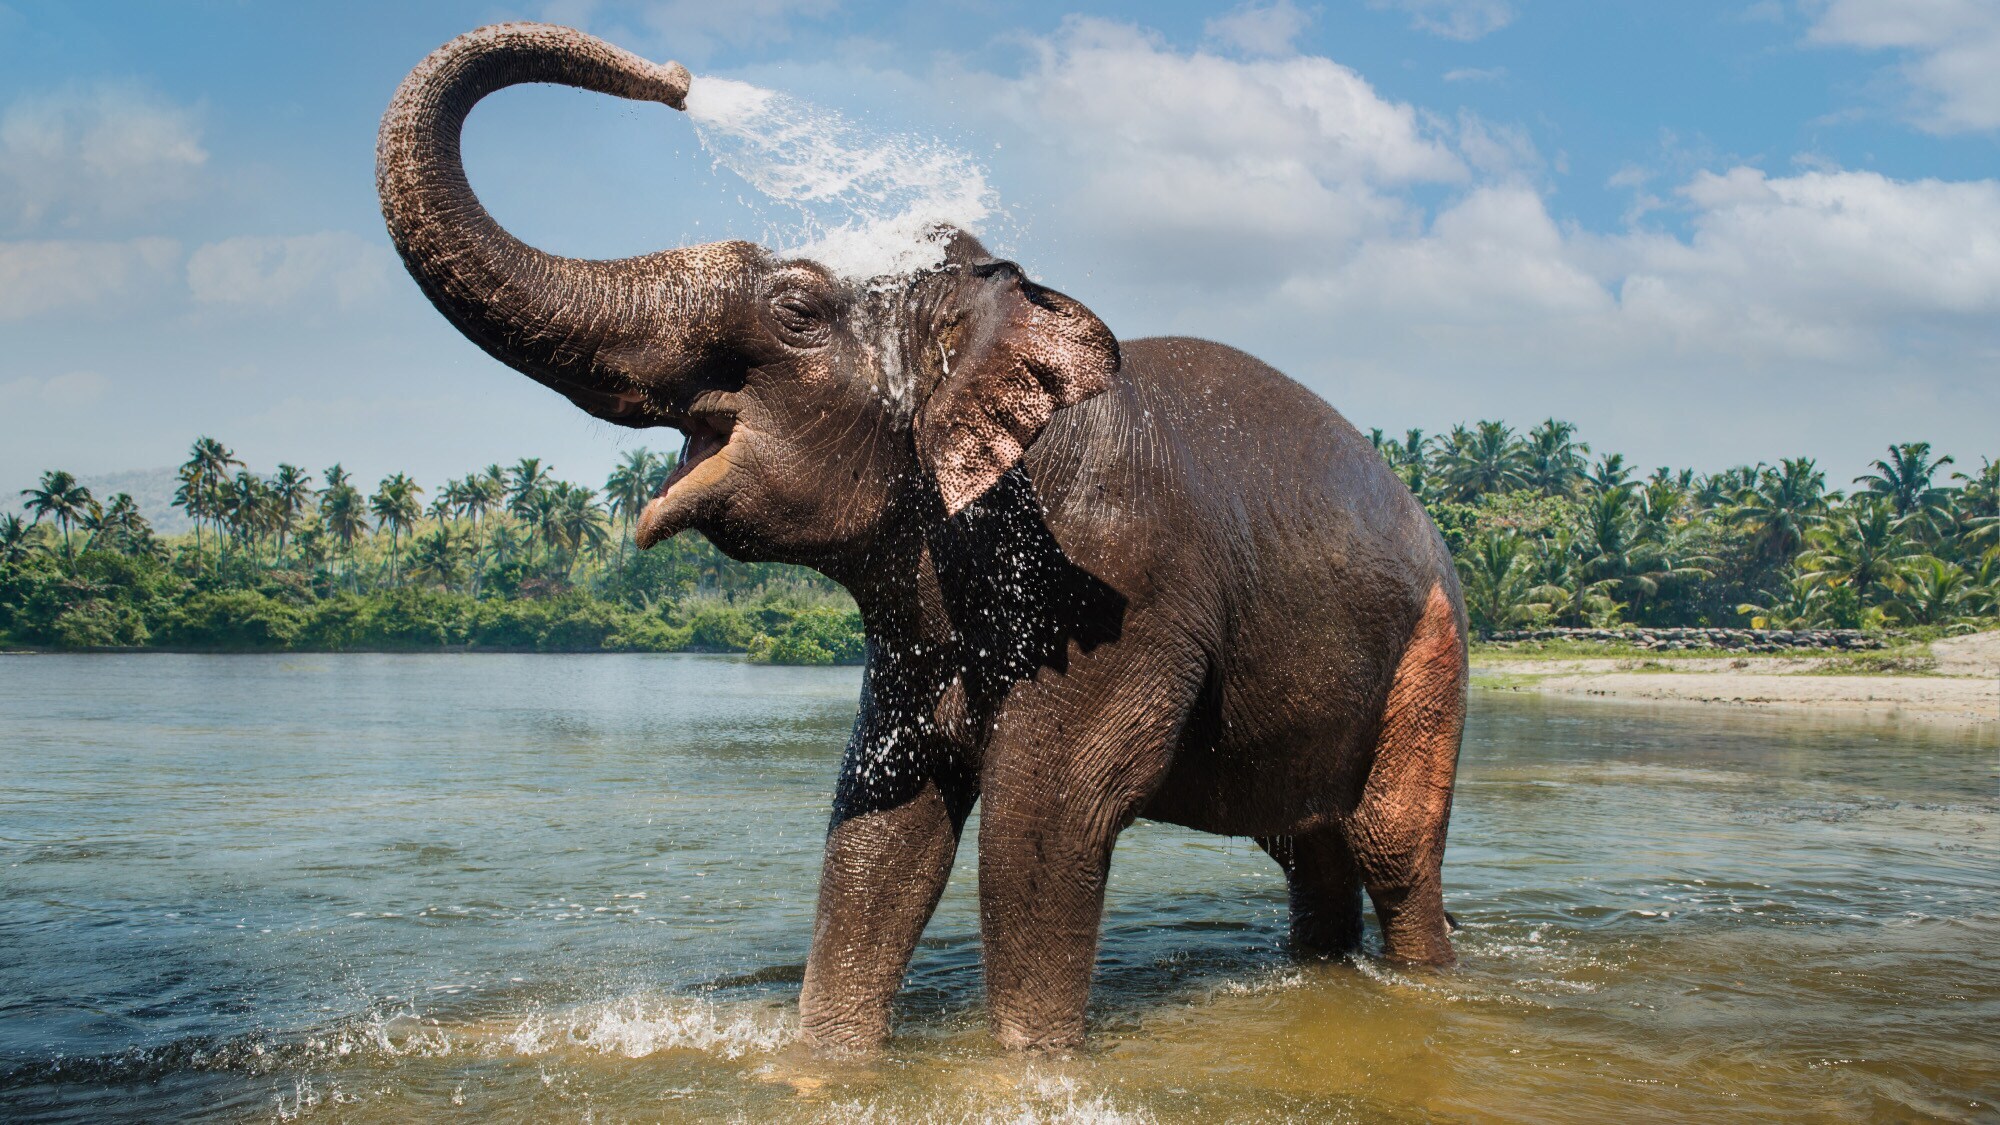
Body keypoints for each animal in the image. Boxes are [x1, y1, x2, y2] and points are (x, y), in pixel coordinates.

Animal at [378, 23, 1468, 1052]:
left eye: (794, 308)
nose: (676, 76)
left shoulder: (1119, 580)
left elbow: (1045, 818)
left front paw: (1029, 1066)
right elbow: (884, 817)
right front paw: (825, 1061)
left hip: (1434, 645)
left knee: (1388, 846)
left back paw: (1424, 981)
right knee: (1307, 845)